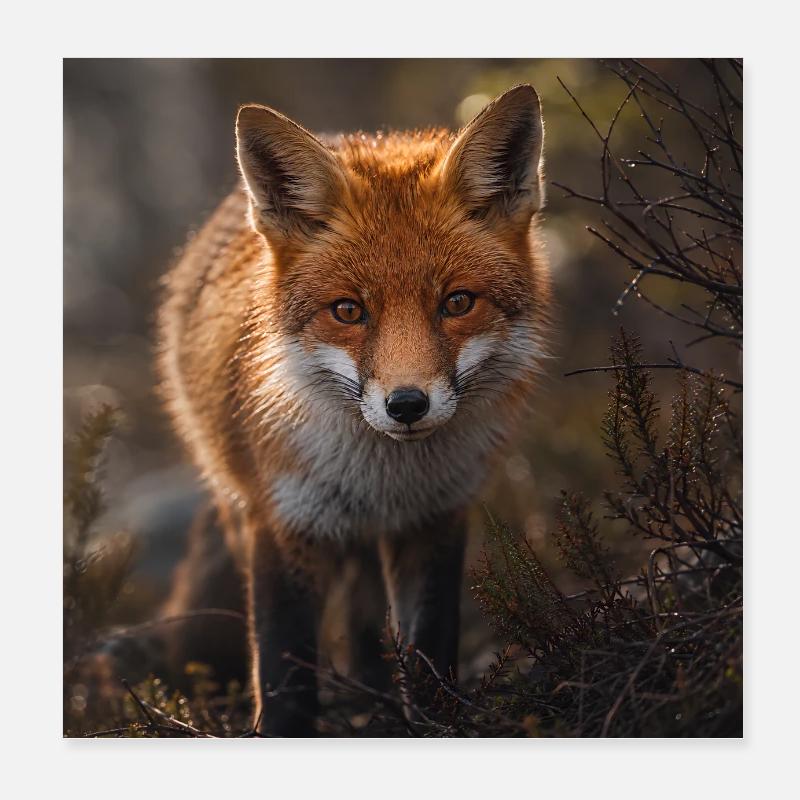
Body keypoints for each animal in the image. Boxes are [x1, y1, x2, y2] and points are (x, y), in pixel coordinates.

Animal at [157, 84, 550, 736]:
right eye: (348, 311)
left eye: (457, 302)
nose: (407, 404)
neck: (382, 479)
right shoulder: (284, 523)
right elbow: (285, 676)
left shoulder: (434, 519)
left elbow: (430, 652)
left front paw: (435, 723)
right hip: (240, 508)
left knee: (366, 626)